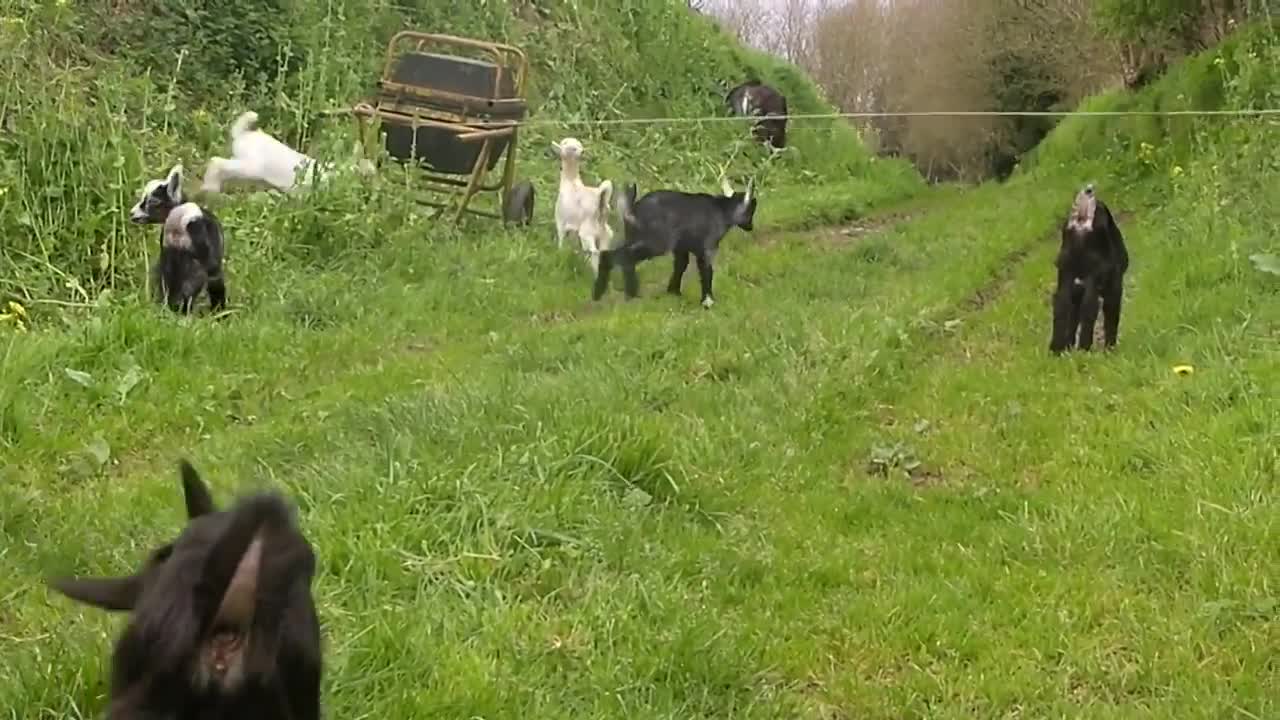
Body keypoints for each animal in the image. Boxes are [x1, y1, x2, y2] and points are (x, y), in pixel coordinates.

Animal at [591, 176, 752, 308]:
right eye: (751, 210)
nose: (750, 227)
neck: (722, 210)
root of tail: (631, 210)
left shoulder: (681, 248)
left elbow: (681, 265)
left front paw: (673, 292)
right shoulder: (706, 248)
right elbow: (706, 271)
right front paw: (707, 301)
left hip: (634, 238)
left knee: (610, 255)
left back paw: (600, 294)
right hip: (655, 243)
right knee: (625, 258)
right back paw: (630, 293)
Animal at [1049, 181, 1131, 353]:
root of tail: (1080, 222)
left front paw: (1068, 346)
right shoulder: (1113, 284)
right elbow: (1111, 313)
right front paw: (1110, 347)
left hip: (1065, 272)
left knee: (1061, 304)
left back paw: (1057, 349)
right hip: (1095, 275)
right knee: (1090, 306)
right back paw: (1084, 347)